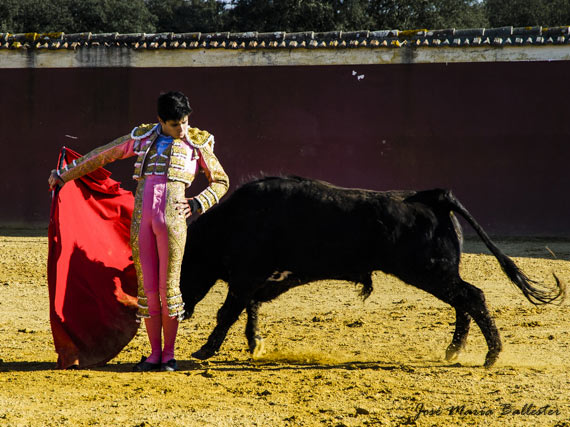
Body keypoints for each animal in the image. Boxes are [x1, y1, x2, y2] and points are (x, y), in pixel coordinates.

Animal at [180, 176, 560, 368]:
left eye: (182, 266)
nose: (179, 310)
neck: (232, 223)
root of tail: (432, 196)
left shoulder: (248, 274)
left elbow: (229, 310)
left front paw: (204, 351)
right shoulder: (262, 277)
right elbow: (251, 305)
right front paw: (254, 342)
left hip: (428, 271)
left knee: (472, 296)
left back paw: (491, 355)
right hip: (437, 273)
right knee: (463, 301)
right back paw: (455, 350)